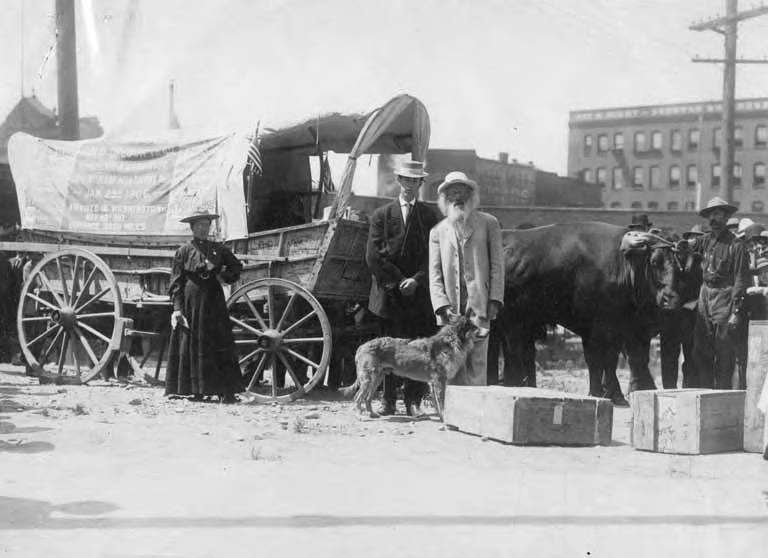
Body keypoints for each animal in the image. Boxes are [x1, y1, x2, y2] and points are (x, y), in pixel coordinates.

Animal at [340, 312, 484, 422]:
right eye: (474, 327)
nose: (487, 330)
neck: (451, 342)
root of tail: (362, 346)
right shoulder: (439, 381)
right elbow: (442, 404)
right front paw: (444, 420)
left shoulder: (434, 383)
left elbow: (438, 405)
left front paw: (441, 418)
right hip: (368, 379)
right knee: (357, 398)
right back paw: (360, 416)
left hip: (377, 378)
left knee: (367, 398)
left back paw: (372, 414)